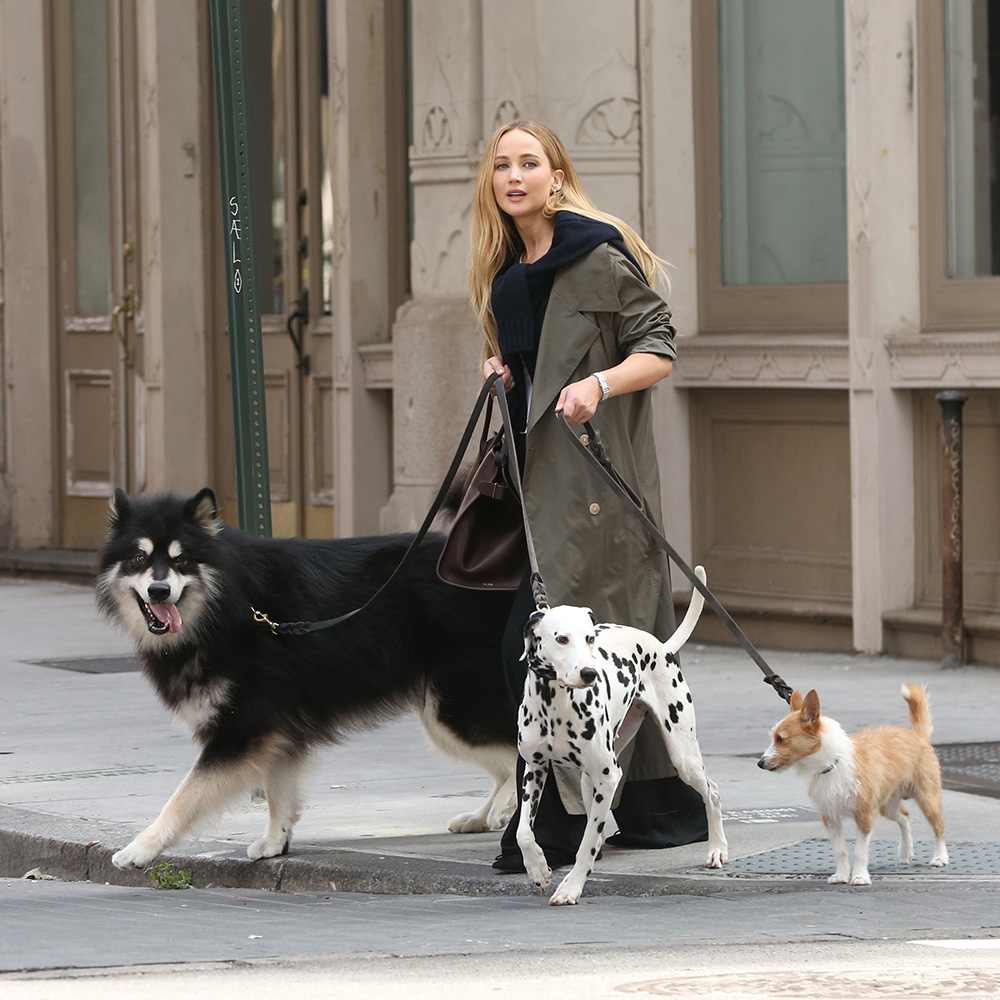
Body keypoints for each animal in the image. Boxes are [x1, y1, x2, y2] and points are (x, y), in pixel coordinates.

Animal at [516, 572, 728, 908]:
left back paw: (717, 848)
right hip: (591, 778)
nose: (589, 673)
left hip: (682, 757)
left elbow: (586, 844)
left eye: (589, 638)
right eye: (561, 639)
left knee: (712, 791)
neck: (555, 704)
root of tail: (661, 646)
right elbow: (523, 831)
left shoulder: (609, 776)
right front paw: (537, 867)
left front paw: (571, 886)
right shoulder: (534, 769)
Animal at [756, 684, 944, 888]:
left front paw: (860, 876)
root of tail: (916, 735)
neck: (832, 764)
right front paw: (841, 874)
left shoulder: (864, 815)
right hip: (888, 806)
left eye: (781, 738)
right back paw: (906, 851)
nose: (760, 763)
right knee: (904, 816)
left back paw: (940, 857)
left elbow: (859, 851)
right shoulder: (830, 817)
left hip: (927, 799)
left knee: (939, 828)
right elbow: (840, 850)